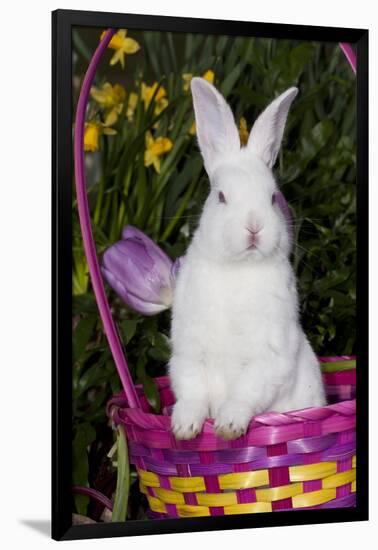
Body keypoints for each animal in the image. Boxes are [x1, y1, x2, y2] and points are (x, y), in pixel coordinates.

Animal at [168, 77, 324, 442]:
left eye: (272, 197)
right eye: (221, 197)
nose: (254, 226)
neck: (238, 268)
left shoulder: (268, 355)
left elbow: (245, 393)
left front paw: (228, 427)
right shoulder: (189, 352)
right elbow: (192, 392)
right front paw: (184, 428)